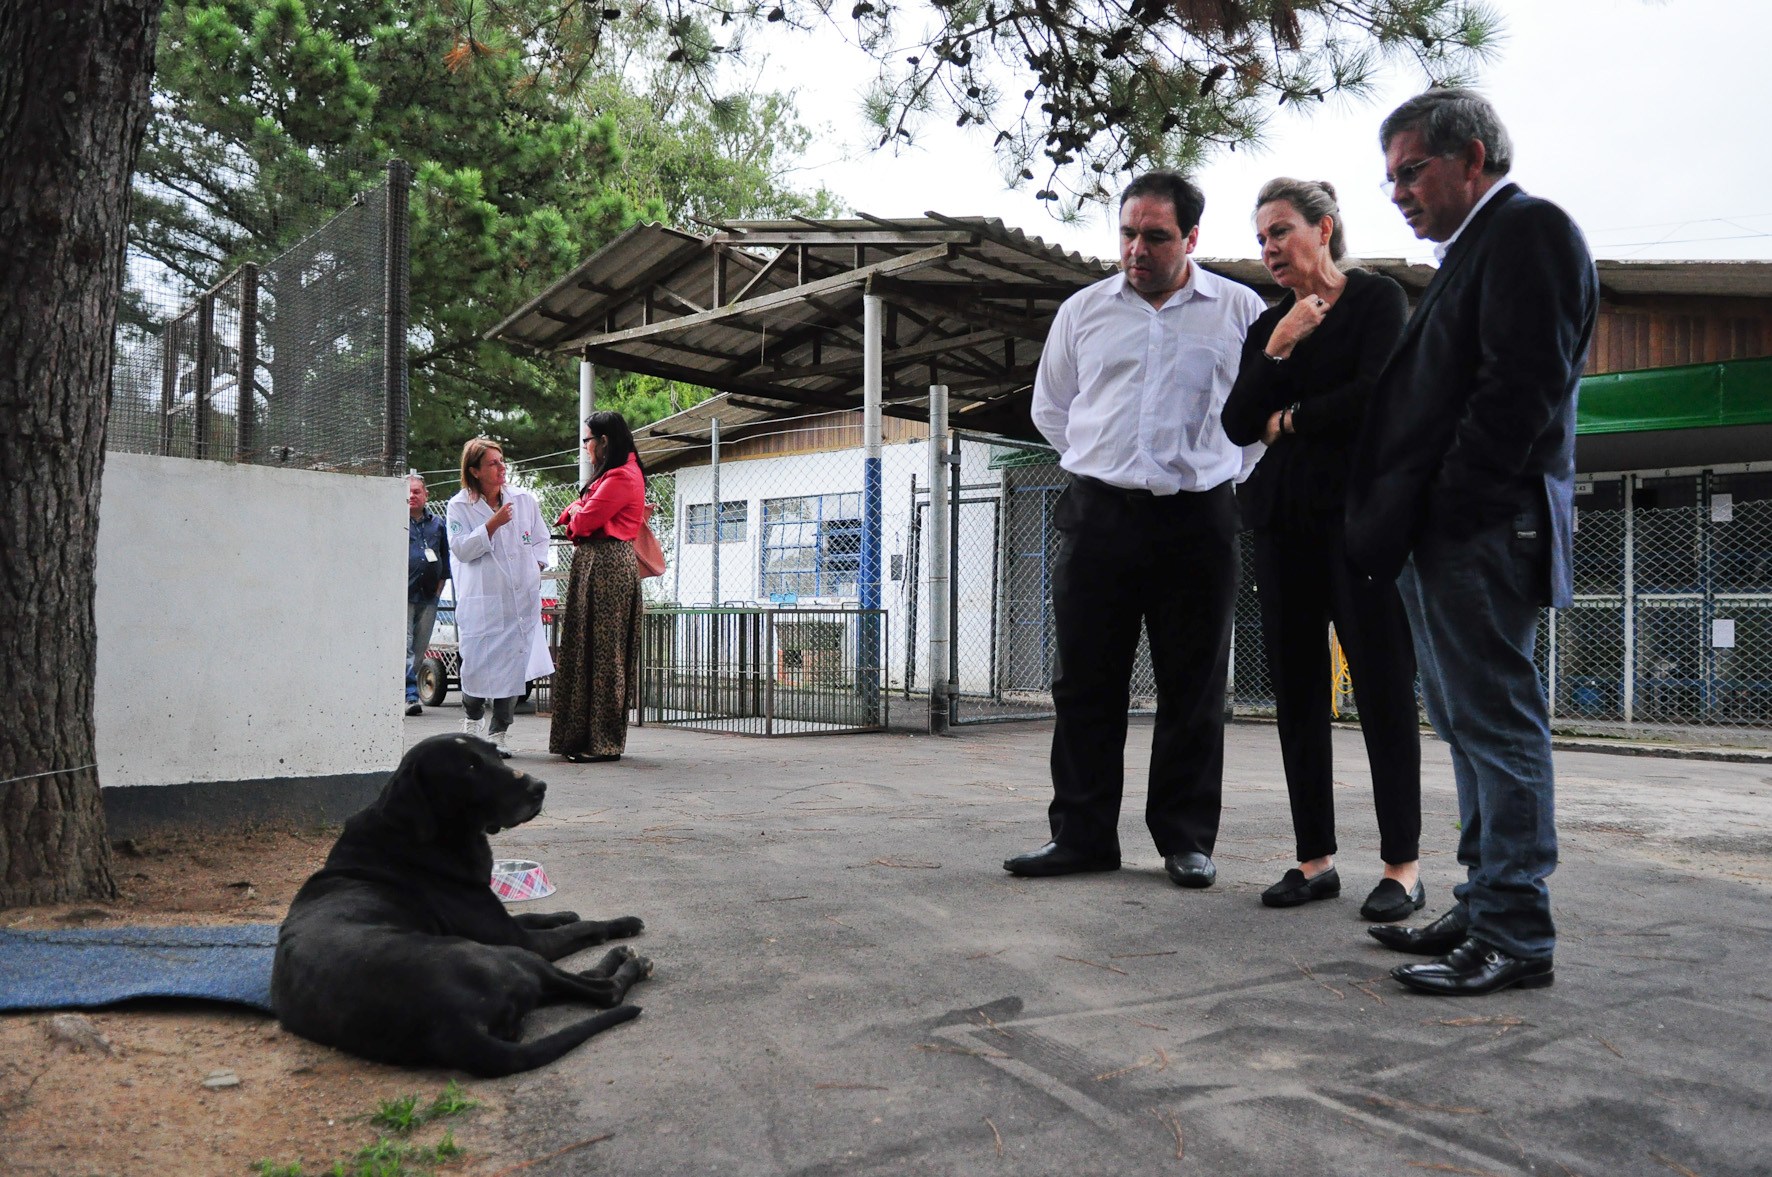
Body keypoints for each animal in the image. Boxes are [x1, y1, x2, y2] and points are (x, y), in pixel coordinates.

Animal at [279, 737, 655, 1077]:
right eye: (470, 768)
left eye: (494, 754)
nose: (539, 787)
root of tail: (448, 1027)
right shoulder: (521, 940)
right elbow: (583, 927)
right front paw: (621, 922)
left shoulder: (503, 923)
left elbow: (537, 915)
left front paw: (563, 914)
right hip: (509, 956)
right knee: (604, 991)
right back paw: (631, 962)